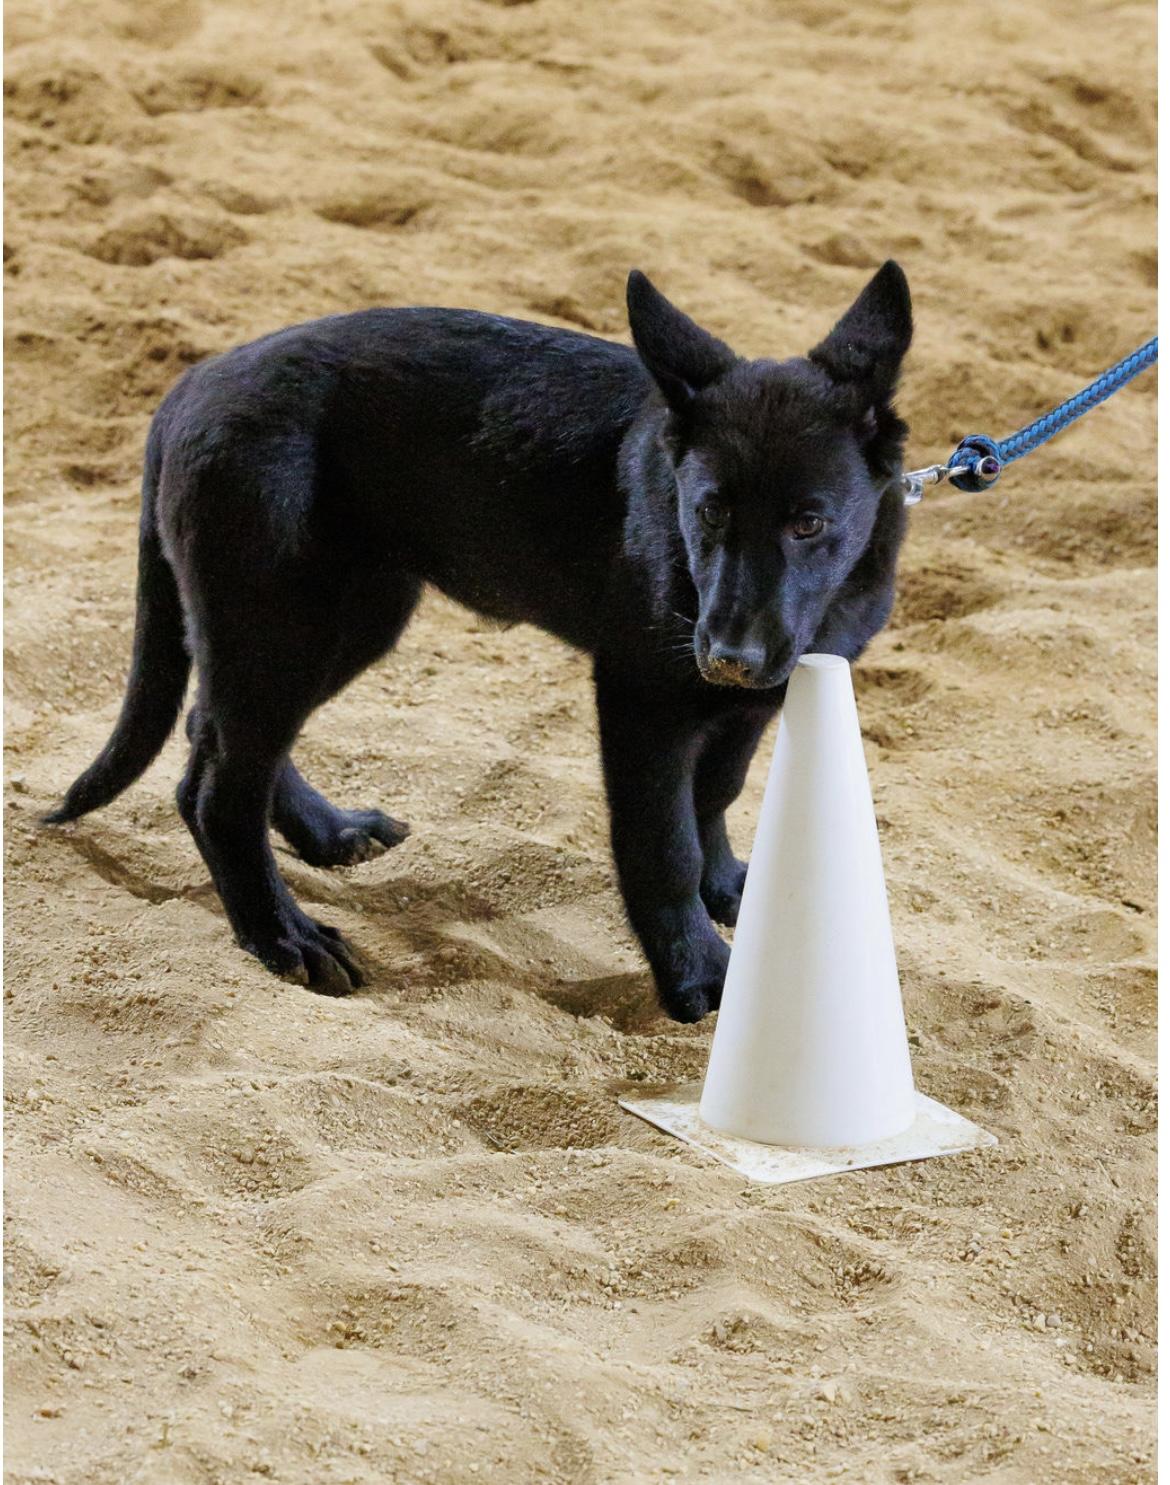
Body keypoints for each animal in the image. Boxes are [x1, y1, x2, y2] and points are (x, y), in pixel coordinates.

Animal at [48, 262, 912, 1022]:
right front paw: (697, 973)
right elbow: (663, 844)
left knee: (219, 736)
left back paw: (327, 834)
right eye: (707, 512)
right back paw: (284, 936)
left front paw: (731, 887)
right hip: (281, 619)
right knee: (218, 786)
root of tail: (190, 386)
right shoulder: (643, 699)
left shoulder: (752, 700)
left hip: (338, 617)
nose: (727, 656)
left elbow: (715, 795)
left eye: (809, 522)